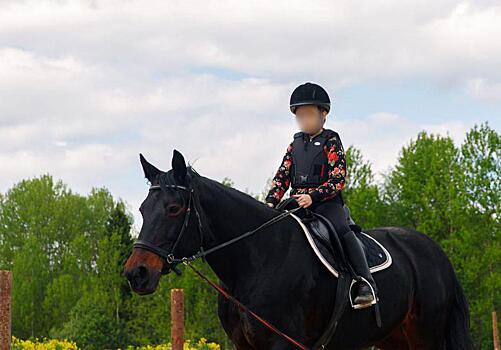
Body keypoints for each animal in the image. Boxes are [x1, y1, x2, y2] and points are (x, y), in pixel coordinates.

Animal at [123, 149, 470, 348]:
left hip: (424, 335)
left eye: (173, 209)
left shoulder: (283, 344)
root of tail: (435, 252)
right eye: (142, 209)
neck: (256, 259)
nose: (136, 273)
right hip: (391, 338)